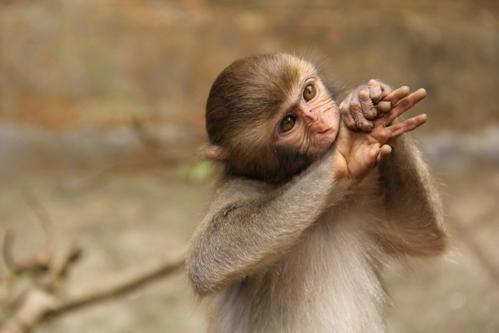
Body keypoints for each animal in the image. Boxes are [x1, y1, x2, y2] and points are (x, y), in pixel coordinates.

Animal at [189, 53, 448, 330]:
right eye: (288, 122)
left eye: (309, 92)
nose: (323, 121)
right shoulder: (235, 187)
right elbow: (208, 257)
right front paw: (346, 149)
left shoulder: (365, 193)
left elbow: (420, 235)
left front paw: (364, 102)